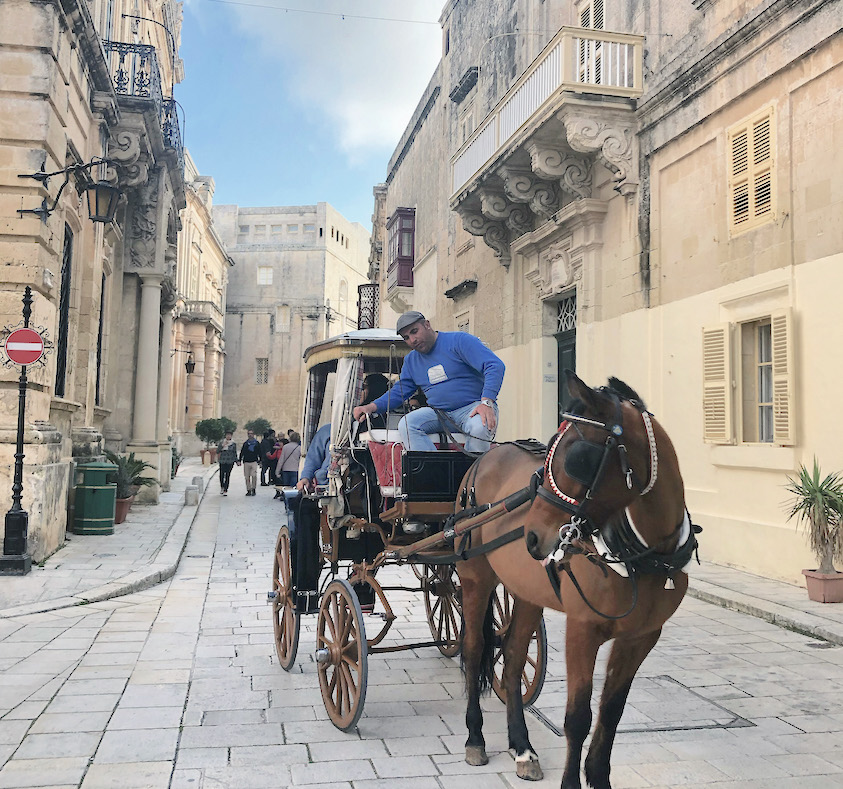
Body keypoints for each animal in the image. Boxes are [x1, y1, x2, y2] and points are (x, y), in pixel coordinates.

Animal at [458, 370, 696, 788]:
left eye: (577, 458)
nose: (532, 537)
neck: (644, 551)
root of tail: (483, 458)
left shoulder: (641, 637)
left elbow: (611, 713)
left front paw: (599, 777)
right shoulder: (582, 629)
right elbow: (578, 719)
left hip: (527, 591)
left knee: (514, 657)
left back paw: (522, 747)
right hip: (476, 579)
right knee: (474, 651)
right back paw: (475, 738)